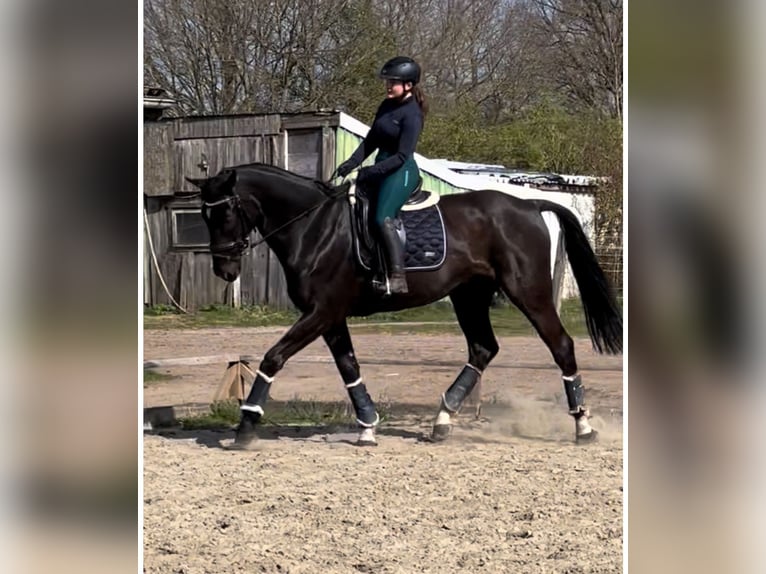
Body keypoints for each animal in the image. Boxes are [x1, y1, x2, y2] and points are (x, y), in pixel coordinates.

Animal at [186, 162, 624, 450]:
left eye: (225, 212)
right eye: (202, 216)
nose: (224, 270)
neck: (314, 228)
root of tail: (529, 206)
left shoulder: (321, 313)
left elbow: (273, 357)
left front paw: (246, 425)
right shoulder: (330, 317)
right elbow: (349, 369)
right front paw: (367, 427)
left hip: (528, 292)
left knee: (560, 346)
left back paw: (583, 428)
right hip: (468, 296)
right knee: (483, 348)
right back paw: (442, 421)